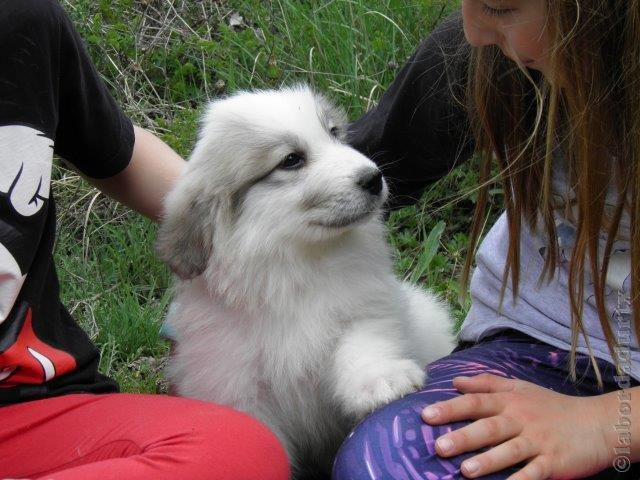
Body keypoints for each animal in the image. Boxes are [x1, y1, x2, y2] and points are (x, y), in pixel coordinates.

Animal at [155, 84, 456, 478]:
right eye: (291, 160)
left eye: (334, 133)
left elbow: (362, 344)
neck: (295, 264)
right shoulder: (234, 384)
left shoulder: (366, 307)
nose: (373, 177)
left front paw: (382, 381)